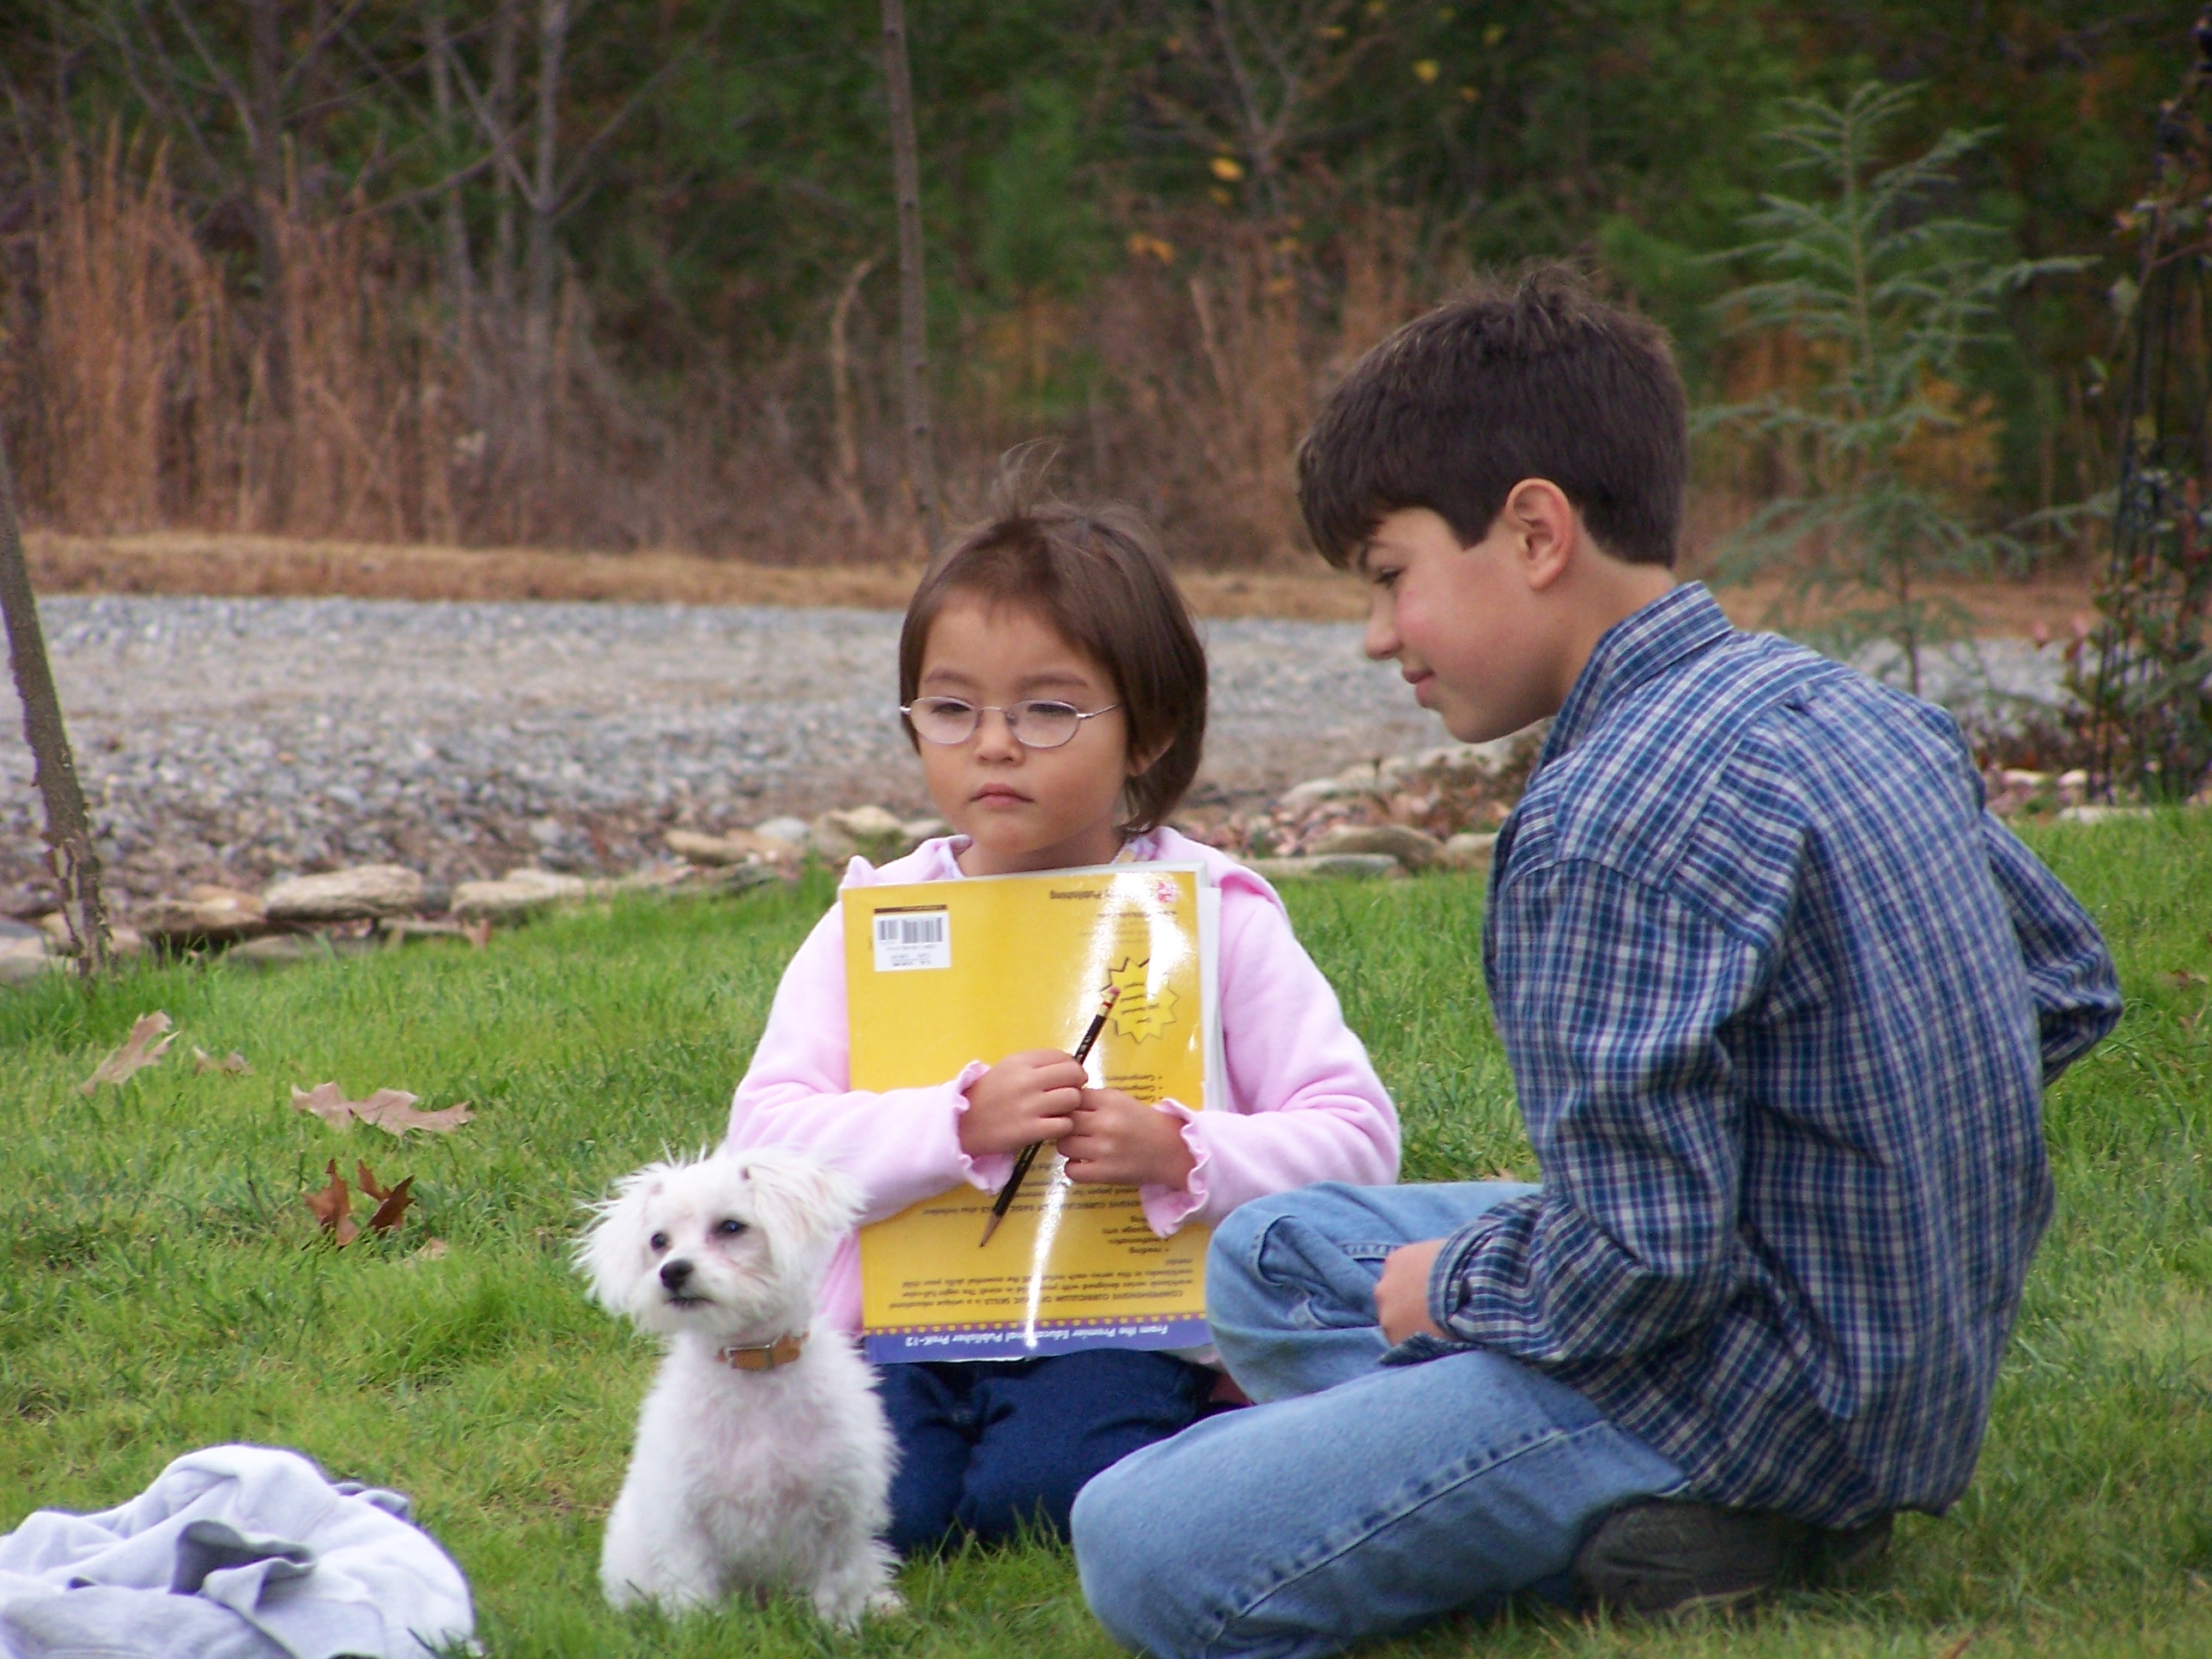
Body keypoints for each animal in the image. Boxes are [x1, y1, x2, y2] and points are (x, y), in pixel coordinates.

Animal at [584, 1150, 911, 1627]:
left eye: (731, 1227)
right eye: (658, 1240)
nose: (672, 1272)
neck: (753, 1364)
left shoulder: (840, 1506)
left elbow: (838, 1579)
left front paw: (838, 1627)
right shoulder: (685, 1515)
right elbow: (693, 1585)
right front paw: (701, 1628)